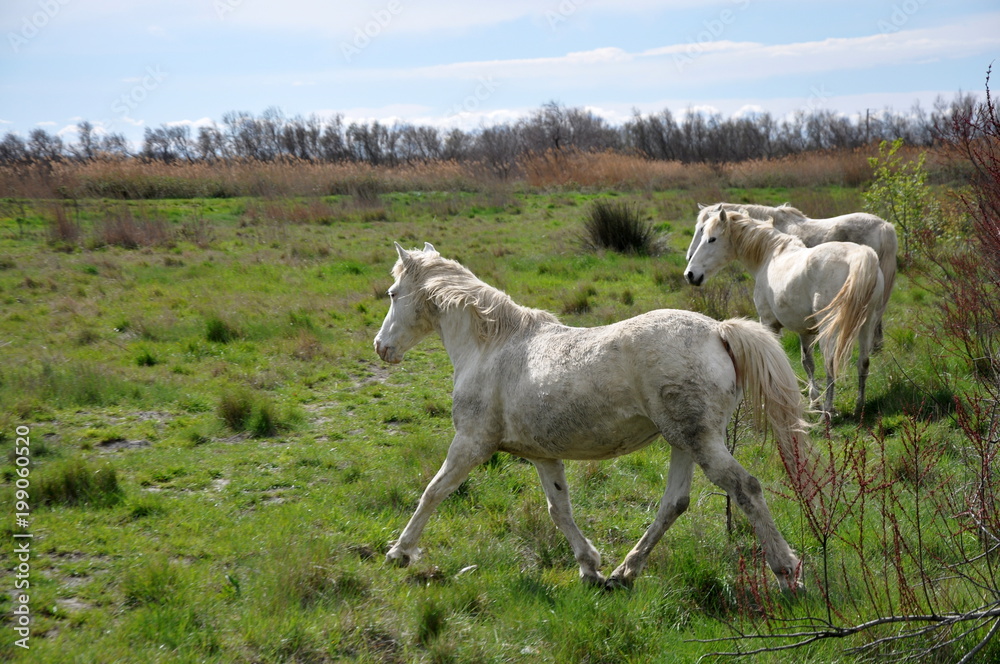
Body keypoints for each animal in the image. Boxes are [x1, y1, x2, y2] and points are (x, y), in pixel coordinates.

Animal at [374, 242, 811, 591]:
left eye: (393, 293)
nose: (381, 347)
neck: (492, 347)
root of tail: (719, 331)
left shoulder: (471, 443)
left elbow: (434, 491)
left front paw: (400, 552)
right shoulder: (543, 455)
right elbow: (560, 510)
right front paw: (590, 568)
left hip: (699, 440)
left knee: (745, 488)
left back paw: (787, 573)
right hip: (685, 441)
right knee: (675, 502)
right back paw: (624, 572)